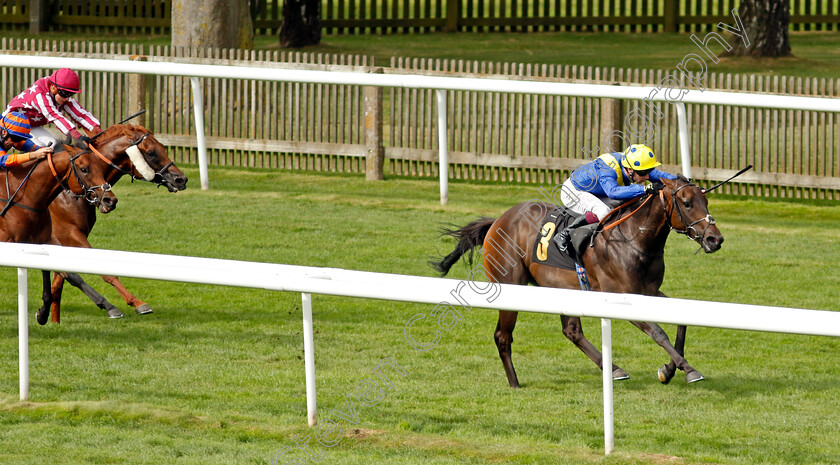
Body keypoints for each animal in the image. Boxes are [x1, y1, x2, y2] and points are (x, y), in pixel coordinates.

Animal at [0, 147, 120, 324]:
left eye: (100, 167)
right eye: (84, 169)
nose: (110, 200)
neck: (26, 198)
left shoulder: (41, 242)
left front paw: (43, 313)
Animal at [48, 123, 189, 320]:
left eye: (163, 147)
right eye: (151, 152)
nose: (181, 179)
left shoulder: (67, 237)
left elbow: (61, 277)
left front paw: (50, 316)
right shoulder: (68, 233)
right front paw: (134, 303)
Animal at [430, 176, 724, 386]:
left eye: (706, 202)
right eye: (686, 203)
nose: (715, 239)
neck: (634, 238)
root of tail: (497, 222)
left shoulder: (649, 291)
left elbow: (681, 322)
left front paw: (669, 369)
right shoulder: (622, 296)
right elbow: (658, 332)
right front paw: (688, 370)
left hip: (564, 288)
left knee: (571, 331)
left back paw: (613, 369)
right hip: (511, 286)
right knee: (503, 336)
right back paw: (514, 383)